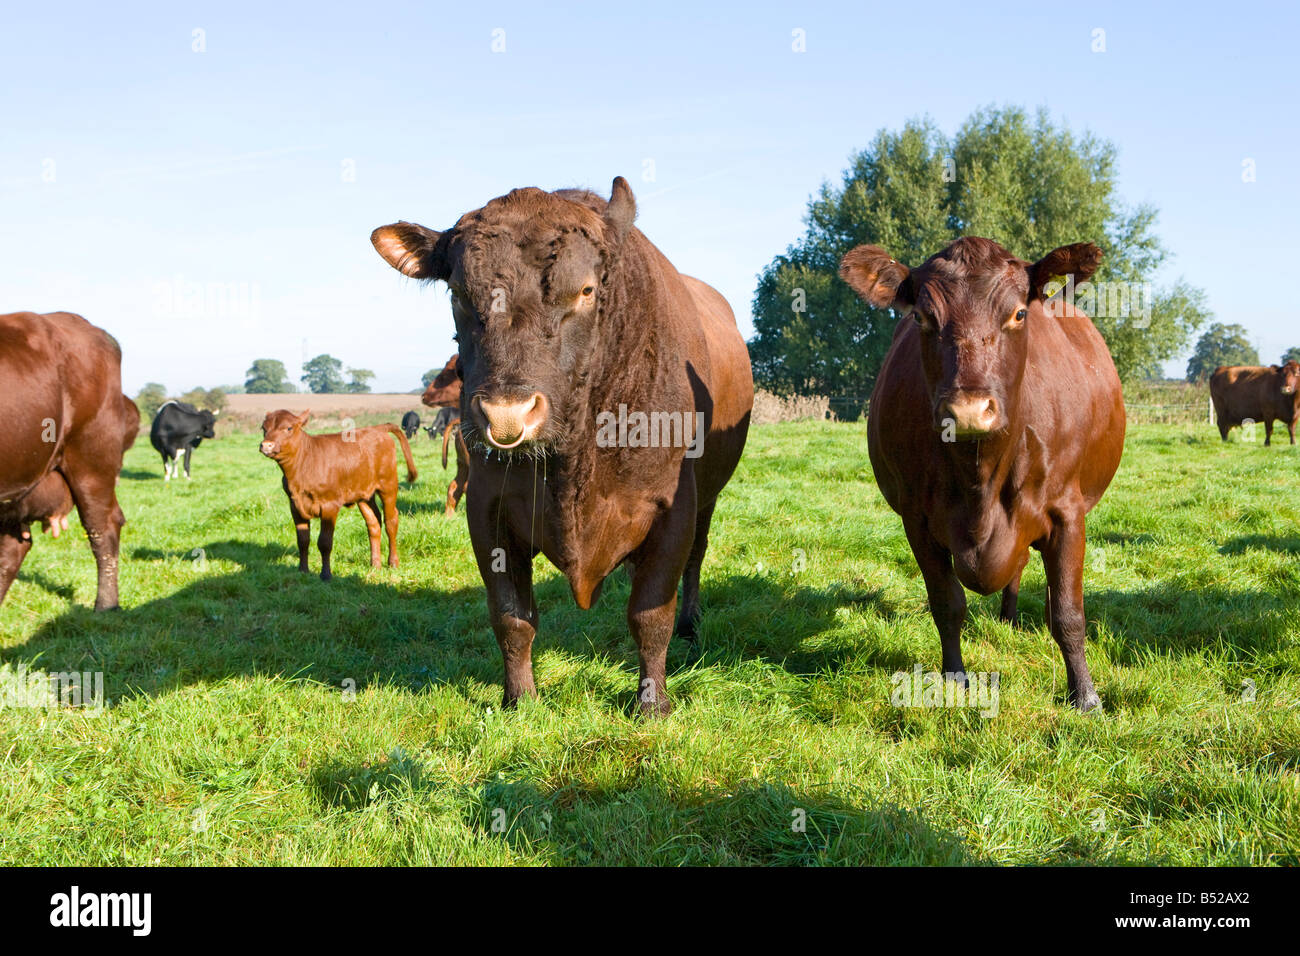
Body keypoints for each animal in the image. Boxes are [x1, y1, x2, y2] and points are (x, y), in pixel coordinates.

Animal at [258, 410, 417, 581]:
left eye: (288, 428)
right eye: (264, 428)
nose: (266, 445)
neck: (304, 465)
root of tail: (377, 428)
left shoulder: (330, 505)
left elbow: (325, 542)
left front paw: (326, 575)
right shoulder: (294, 505)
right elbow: (303, 540)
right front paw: (303, 570)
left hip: (388, 485)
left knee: (391, 521)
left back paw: (393, 562)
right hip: (364, 494)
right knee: (373, 523)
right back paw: (375, 564)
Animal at [372, 176, 754, 715]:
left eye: (587, 290)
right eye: (459, 295)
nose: (507, 415)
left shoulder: (673, 509)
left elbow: (650, 613)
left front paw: (652, 703)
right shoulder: (486, 511)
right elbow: (511, 615)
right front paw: (520, 698)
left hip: (708, 498)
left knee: (695, 563)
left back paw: (690, 625)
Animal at [840, 237, 1125, 711]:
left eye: (1019, 314)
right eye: (921, 316)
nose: (969, 411)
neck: (981, 482)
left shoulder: (1068, 513)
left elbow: (1067, 612)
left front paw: (1084, 695)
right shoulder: (916, 519)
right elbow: (947, 604)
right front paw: (955, 680)